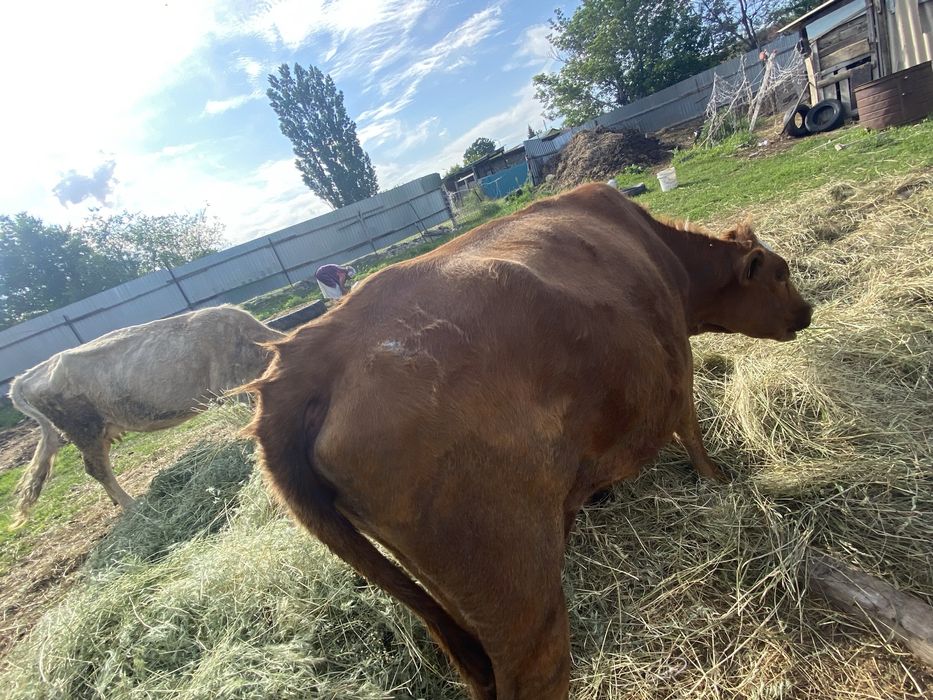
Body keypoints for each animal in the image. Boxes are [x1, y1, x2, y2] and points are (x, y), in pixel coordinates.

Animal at [245, 183, 813, 700]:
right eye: (781, 272)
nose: (807, 311)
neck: (661, 253)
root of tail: (312, 352)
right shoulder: (676, 366)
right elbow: (691, 431)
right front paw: (718, 479)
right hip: (521, 599)